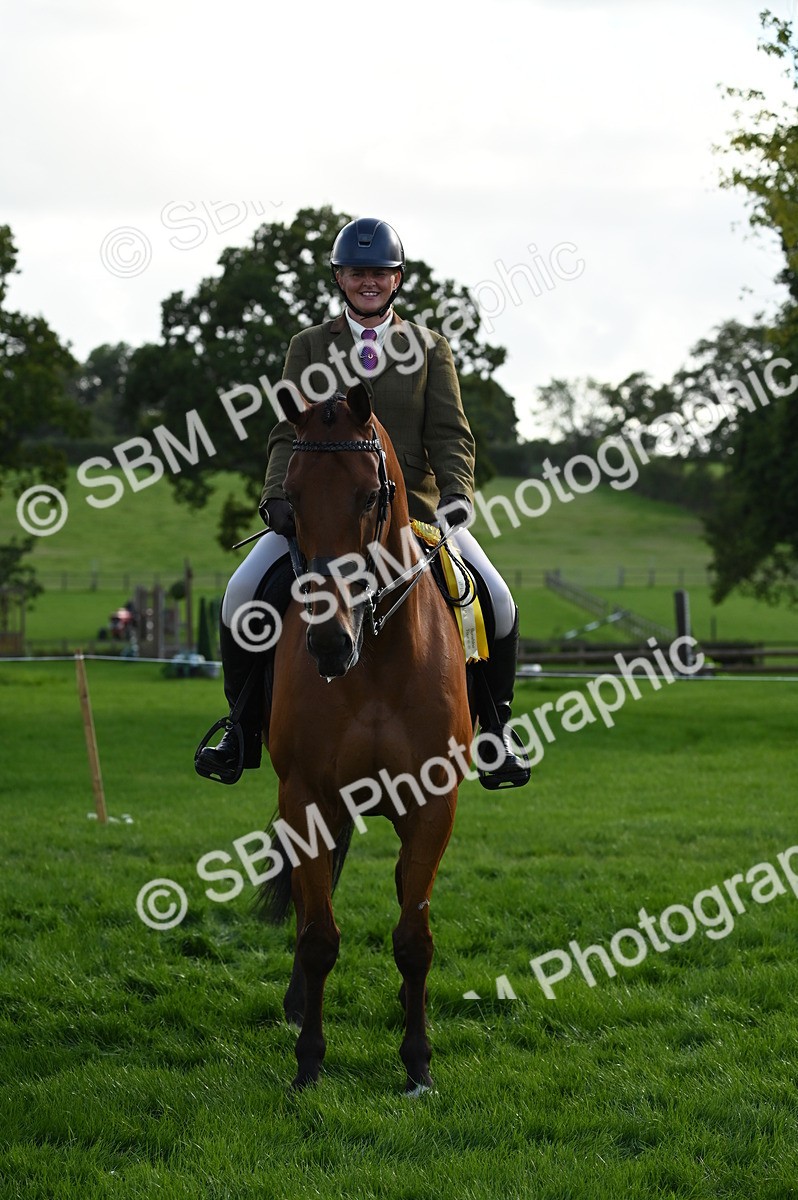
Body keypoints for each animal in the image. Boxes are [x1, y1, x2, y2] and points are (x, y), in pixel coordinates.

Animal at [257, 381, 473, 1094]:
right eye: (291, 498)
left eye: (369, 496)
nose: (329, 642)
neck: (374, 657)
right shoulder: (306, 798)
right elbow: (319, 936)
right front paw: (309, 1062)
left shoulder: (433, 803)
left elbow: (414, 938)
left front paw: (418, 1062)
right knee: (309, 910)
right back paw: (299, 1006)